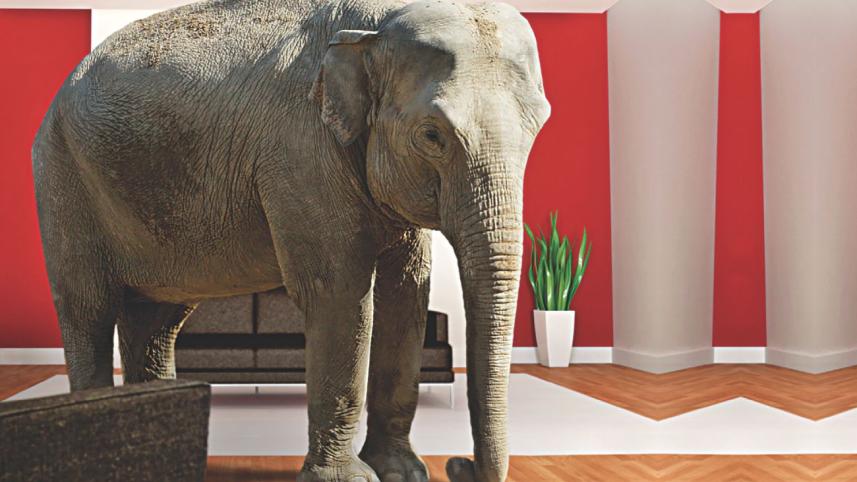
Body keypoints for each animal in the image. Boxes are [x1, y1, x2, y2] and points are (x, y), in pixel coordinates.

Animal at [31, 0, 550, 480]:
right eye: (431, 135)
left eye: (539, 125)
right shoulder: (300, 152)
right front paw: (349, 479)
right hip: (62, 179)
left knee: (157, 320)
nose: (460, 464)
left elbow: (408, 292)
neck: (374, 24)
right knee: (88, 309)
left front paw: (401, 473)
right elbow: (339, 295)